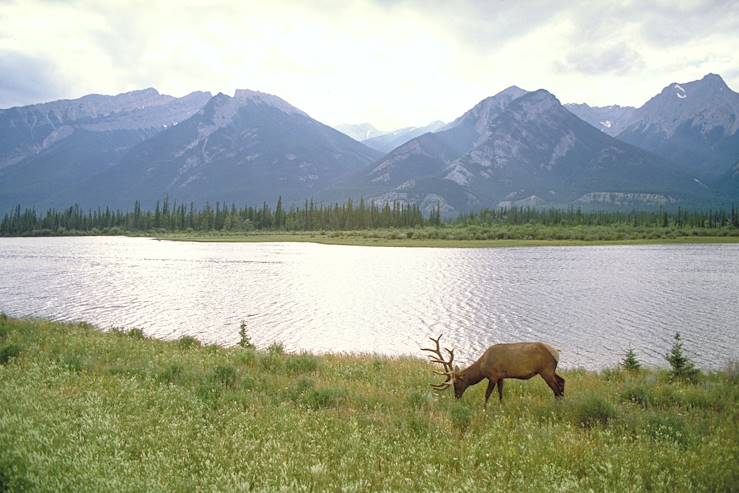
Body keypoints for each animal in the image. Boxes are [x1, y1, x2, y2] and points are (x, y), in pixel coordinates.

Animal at [422, 334, 568, 408]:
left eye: (457, 383)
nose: (456, 397)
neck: (482, 366)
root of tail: (557, 353)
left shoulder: (492, 375)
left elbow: (487, 394)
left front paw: (484, 408)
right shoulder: (500, 376)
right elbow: (500, 392)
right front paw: (501, 406)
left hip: (546, 370)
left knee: (556, 387)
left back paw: (558, 405)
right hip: (550, 370)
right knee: (562, 381)